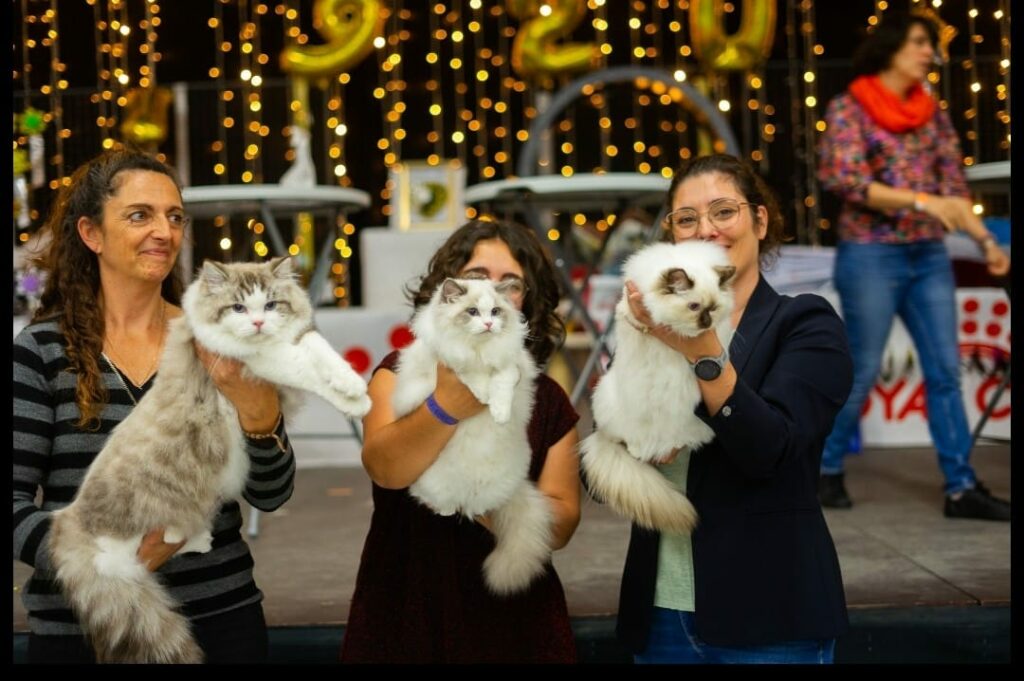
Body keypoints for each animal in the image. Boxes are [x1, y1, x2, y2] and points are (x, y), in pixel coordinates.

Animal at [48, 254, 370, 659]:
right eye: (238, 308)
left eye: (270, 305)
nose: (258, 323)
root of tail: (68, 519)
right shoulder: (260, 359)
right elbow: (301, 364)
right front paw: (355, 398)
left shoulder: (293, 340)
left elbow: (317, 348)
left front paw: (354, 387)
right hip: (122, 534)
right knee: (126, 558)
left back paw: (199, 538)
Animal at [391, 276, 552, 593]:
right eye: (473, 312)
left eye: (495, 312)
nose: (489, 324)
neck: (479, 351)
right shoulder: (451, 366)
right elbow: (470, 377)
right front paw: (481, 394)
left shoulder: (510, 366)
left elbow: (501, 383)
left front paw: (499, 413)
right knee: (437, 501)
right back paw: (447, 508)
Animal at [577, 241, 737, 532]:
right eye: (694, 307)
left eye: (713, 308)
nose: (706, 323)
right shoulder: (627, 304)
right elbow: (632, 317)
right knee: (631, 443)